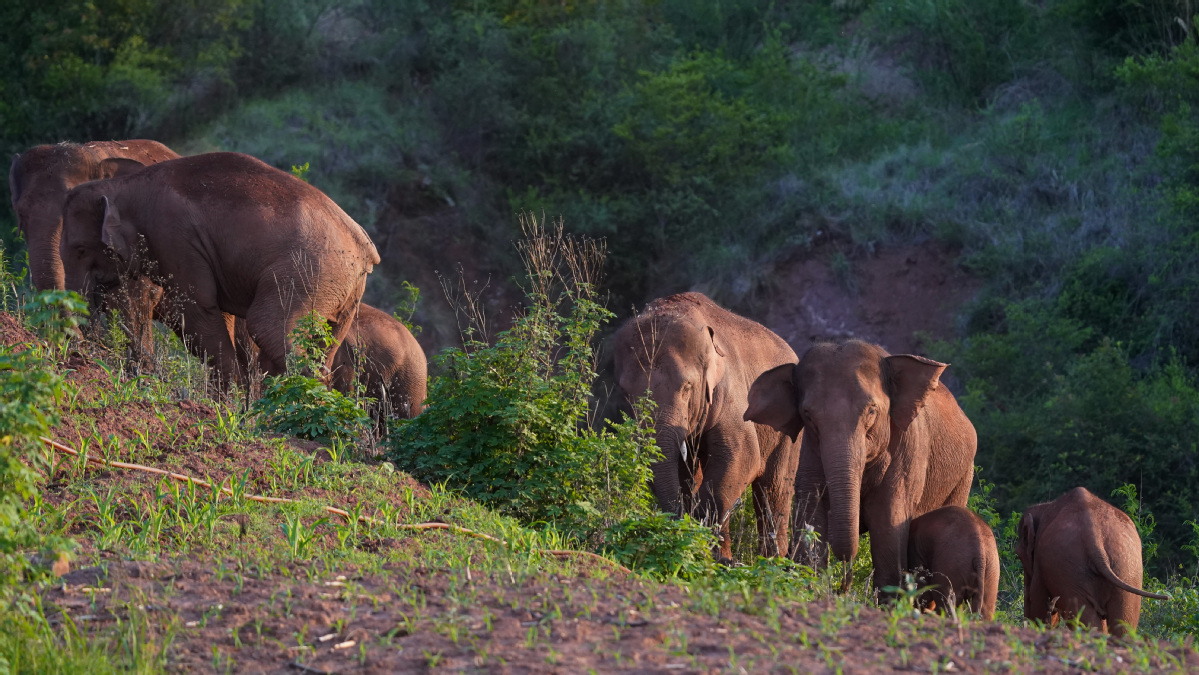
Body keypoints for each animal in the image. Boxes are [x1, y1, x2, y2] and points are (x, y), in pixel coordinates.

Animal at [59, 150, 378, 388]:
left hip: (308, 272)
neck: (126, 187)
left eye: (80, 249)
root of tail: (365, 246)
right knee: (323, 344)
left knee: (268, 326)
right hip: (345, 291)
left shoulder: (175, 238)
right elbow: (215, 313)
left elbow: (192, 309)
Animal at [613, 290, 800, 561]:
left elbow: (743, 456)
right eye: (625, 392)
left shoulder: (730, 389)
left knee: (774, 489)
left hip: (787, 426)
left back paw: (773, 561)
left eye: (686, 387)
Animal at [743, 340, 978, 594]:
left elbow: (889, 522)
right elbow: (811, 511)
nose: (844, 581)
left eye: (872, 411)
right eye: (807, 415)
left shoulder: (908, 453)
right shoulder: (810, 453)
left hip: (964, 475)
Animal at [1016, 486, 1165, 637]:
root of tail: (1094, 536)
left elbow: (1039, 604)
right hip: (1127, 568)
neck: (1045, 506)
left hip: (1070, 572)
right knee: (1122, 624)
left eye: (1018, 555)